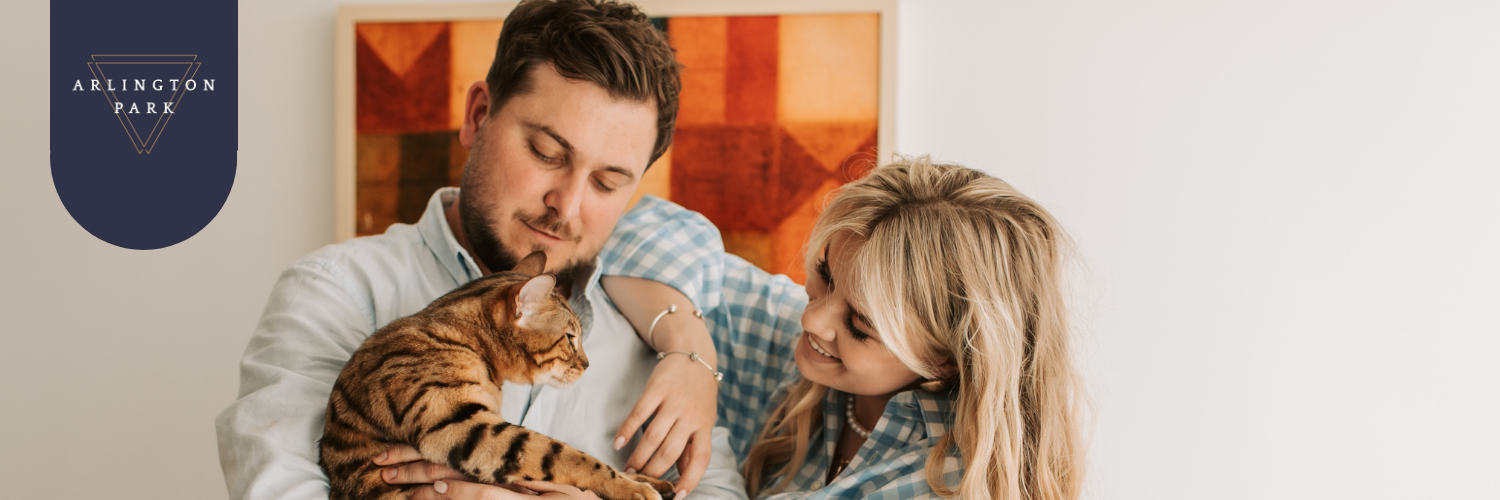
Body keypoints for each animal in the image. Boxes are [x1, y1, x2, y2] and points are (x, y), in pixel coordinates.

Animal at [319, 250, 678, 498]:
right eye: (570, 338)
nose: (588, 364)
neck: (467, 340)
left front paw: (644, 479)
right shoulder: (459, 425)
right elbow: (564, 454)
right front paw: (631, 488)